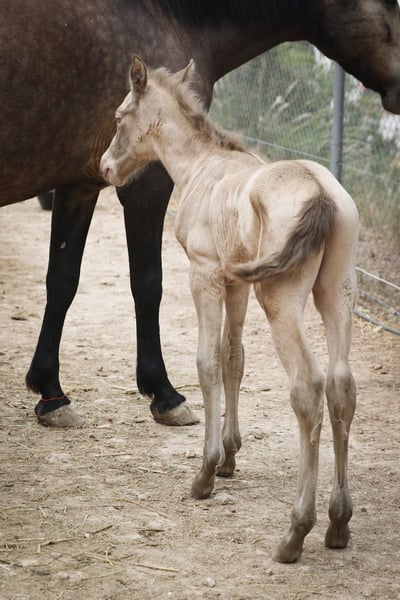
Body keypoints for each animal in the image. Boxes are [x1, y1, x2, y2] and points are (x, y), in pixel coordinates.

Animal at [1, 1, 399, 427]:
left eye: (119, 117)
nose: (399, 88)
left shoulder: (82, 186)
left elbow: (65, 281)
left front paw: (52, 392)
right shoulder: (144, 185)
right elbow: (144, 285)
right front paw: (162, 393)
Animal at [99, 55, 359, 563]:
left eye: (119, 116)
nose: (105, 168)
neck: (203, 167)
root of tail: (320, 192)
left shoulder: (203, 275)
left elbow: (207, 362)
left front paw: (205, 471)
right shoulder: (236, 283)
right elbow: (233, 358)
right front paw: (231, 456)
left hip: (281, 300)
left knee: (308, 388)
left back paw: (296, 532)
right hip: (335, 293)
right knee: (341, 387)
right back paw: (338, 523)